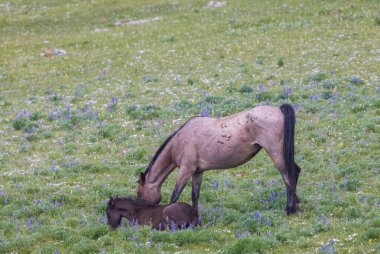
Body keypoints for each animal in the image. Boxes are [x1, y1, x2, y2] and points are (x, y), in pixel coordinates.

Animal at [137, 103, 302, 214]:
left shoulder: (186, 170)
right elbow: (195, 195)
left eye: (139, 193)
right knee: (295, 172)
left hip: (276, 154)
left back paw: (290, 209)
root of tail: (278, 110)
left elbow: (174, 196)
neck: (180, 140)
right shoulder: (197, 172)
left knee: (288, 175)